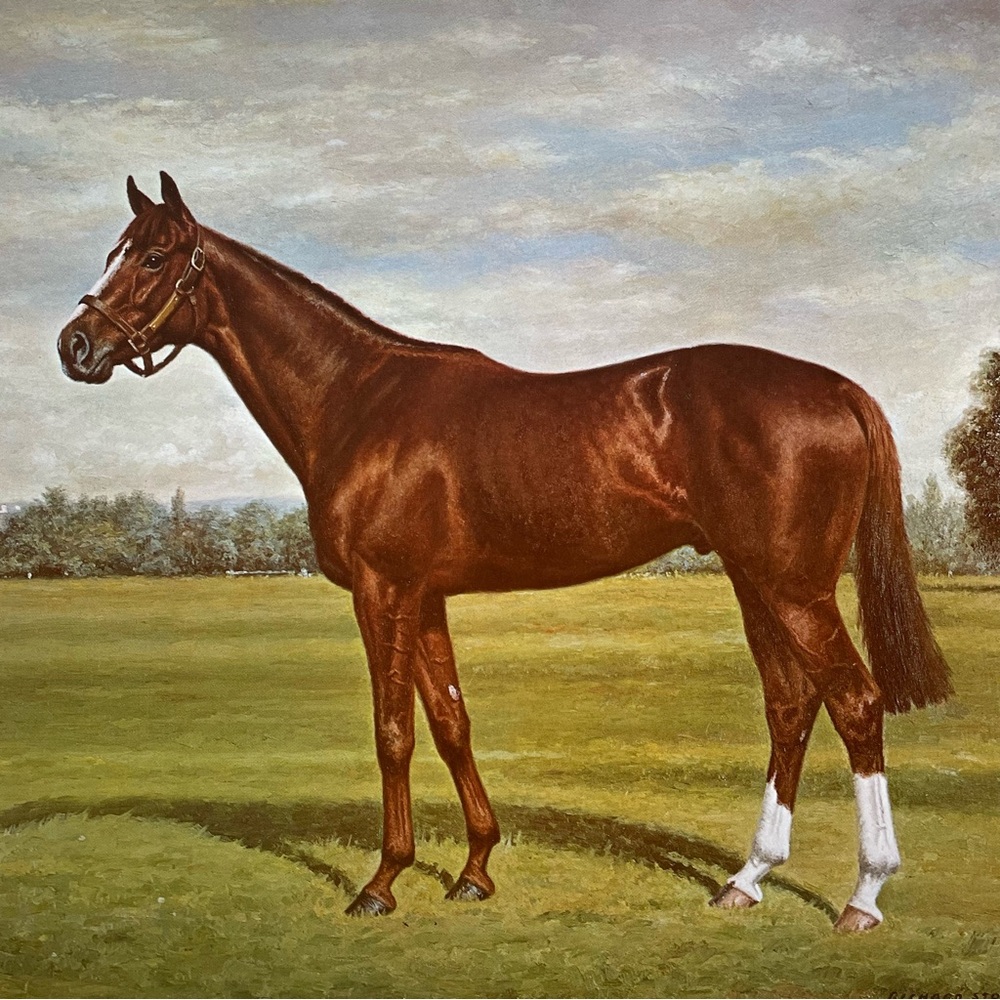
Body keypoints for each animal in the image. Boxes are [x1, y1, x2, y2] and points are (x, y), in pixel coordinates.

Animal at [57, 172, 952, 932]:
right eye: (113, 253)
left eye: (154, 256)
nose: (76, 346)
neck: (358, 398)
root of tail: (837, 388)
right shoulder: (425, 597)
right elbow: (451, 721)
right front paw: (475, 870)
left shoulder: (382, 590)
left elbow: (393, 730)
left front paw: (382, 883)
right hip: (755, 581)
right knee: (791, 707)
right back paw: (747, 880)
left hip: (794, 586)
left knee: (855, 702)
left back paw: (863, 897)